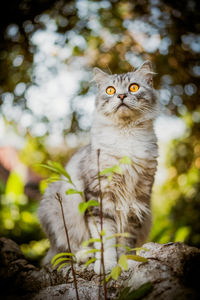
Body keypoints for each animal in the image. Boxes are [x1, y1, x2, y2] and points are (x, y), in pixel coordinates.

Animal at [38, 61, 159, 274]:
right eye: (110, 90)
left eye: (133, 87)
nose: (121, 96)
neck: (126, 136)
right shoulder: (99, 197)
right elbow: (105, 241)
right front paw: (105, 265)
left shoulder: (137, 200)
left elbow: (124, 240)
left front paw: (124, 263)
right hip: (54, 211)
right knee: (65, 250)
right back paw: (85, 255)